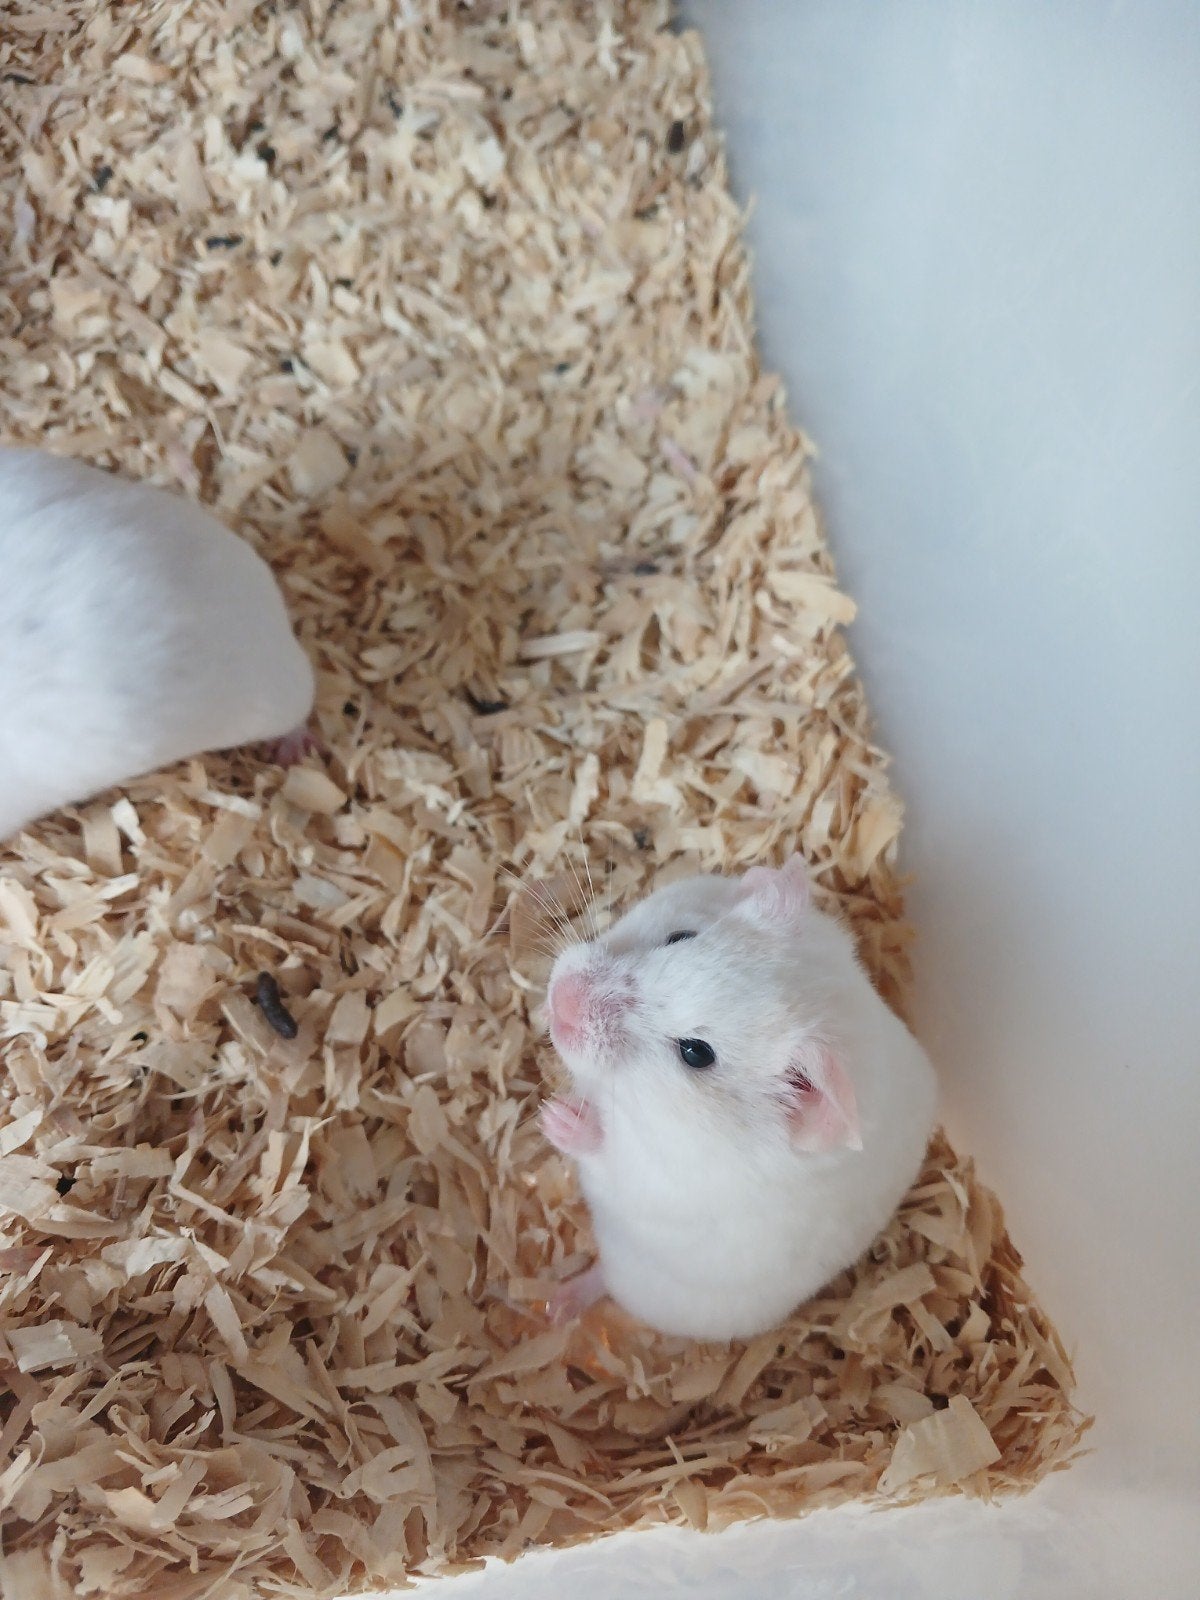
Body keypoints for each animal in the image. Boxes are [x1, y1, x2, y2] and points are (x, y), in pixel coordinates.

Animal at [540, 855, 937, 1342]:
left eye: (696, 1052)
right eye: (680, 937)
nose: (562, 998)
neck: (640, 1105)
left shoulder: (657, 1183)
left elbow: (605, 1153)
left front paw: (553, 1116)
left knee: (603, 1281)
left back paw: (556, 1305)